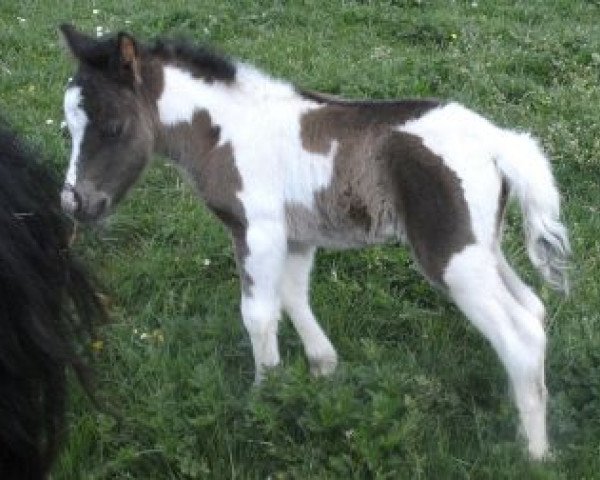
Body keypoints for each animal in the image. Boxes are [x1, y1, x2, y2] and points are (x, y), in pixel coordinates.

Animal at [58, 24, 568, 460]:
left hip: (451, 258)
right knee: (534, 310)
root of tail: (497, 141)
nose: (75, 203)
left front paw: (262, 402)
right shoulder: (296, 236)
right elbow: (293, 296)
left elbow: (258, 314)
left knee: (522, 334)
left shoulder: (257, 230)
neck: (224, 132)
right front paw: (322, 371)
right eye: (69, 127)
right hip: (483, 248)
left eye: (113, 126)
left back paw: (534, 453)